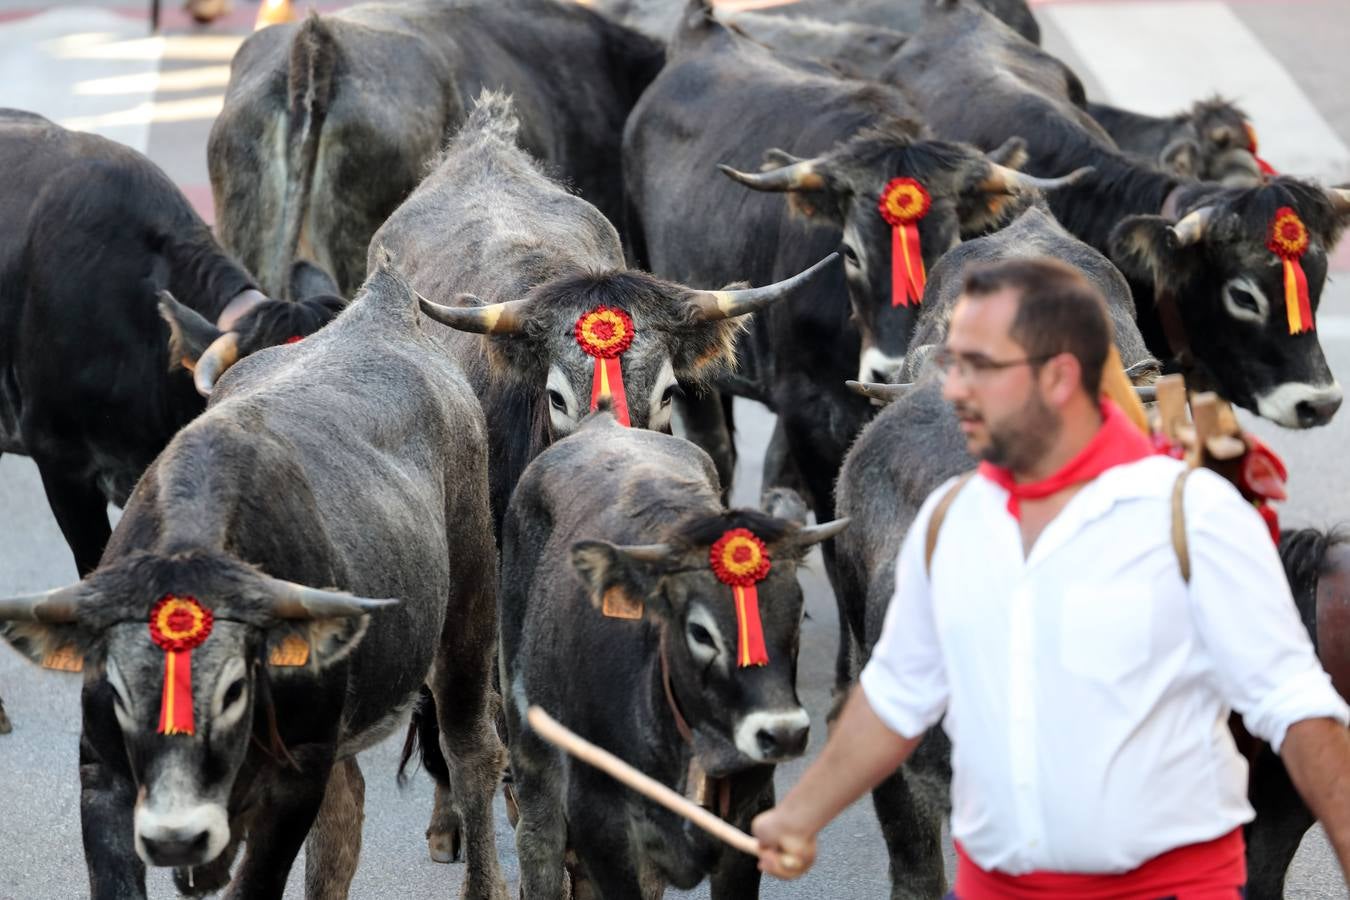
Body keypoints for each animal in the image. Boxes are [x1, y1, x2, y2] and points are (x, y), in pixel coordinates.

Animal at [0, 264, 504, 900]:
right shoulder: (102, 772)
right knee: (345, 813)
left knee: (471, 751)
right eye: (116, 689)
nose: (176, 837)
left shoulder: (296, 774)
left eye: (234, 688)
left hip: (469, 613)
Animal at [502, 412, 842, 895]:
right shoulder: (602, 825)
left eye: (795, 613)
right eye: (699, 631)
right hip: (529, 748)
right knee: (538, 843)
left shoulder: (749, 823)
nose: (784, 733)